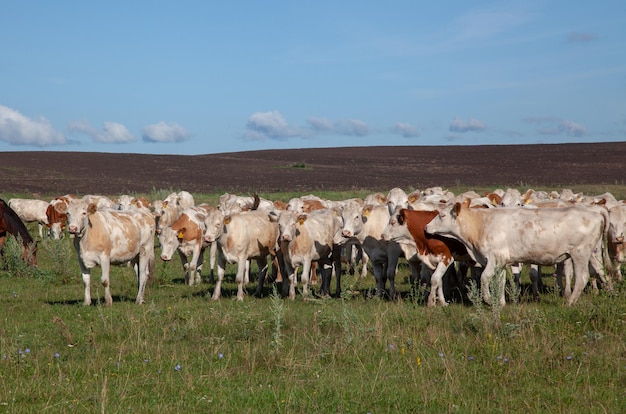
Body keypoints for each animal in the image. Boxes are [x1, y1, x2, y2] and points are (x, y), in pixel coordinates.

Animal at [424, 202, 608, 306]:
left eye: (441, 215)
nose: (426, 227)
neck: (480, 224)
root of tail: (595, 212)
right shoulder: (502, 262)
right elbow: (499, 281)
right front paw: (500, 302)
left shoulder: (494, 258)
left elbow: (484, 278)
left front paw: (488, 299)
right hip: (590, 253)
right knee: (599, 271)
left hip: (580, 254)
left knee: (582, 277)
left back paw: (569, 302)